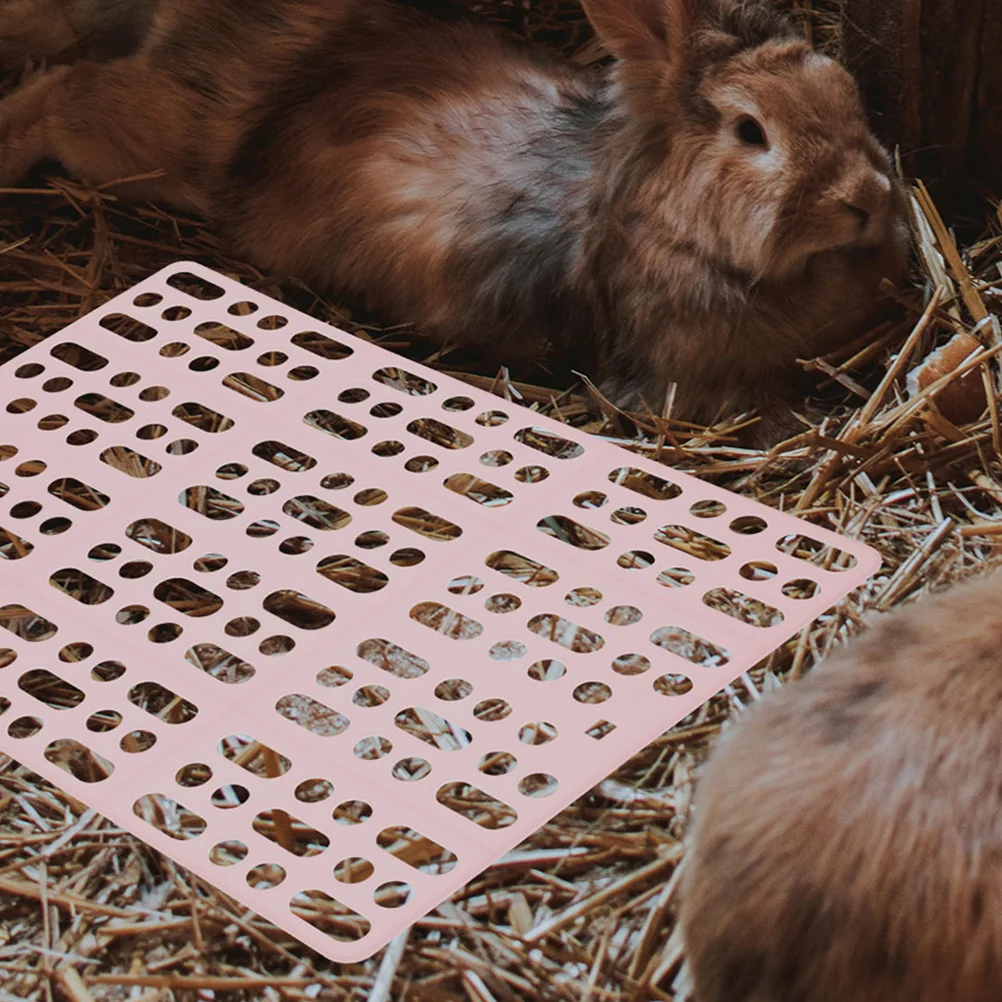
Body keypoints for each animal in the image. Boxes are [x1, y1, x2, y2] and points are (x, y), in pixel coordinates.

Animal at [0, 0, 909, 435]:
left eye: (847, 97)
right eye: (752, 133)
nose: (863, 200)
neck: (670, 224)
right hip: (143, 143)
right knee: (58, 92)